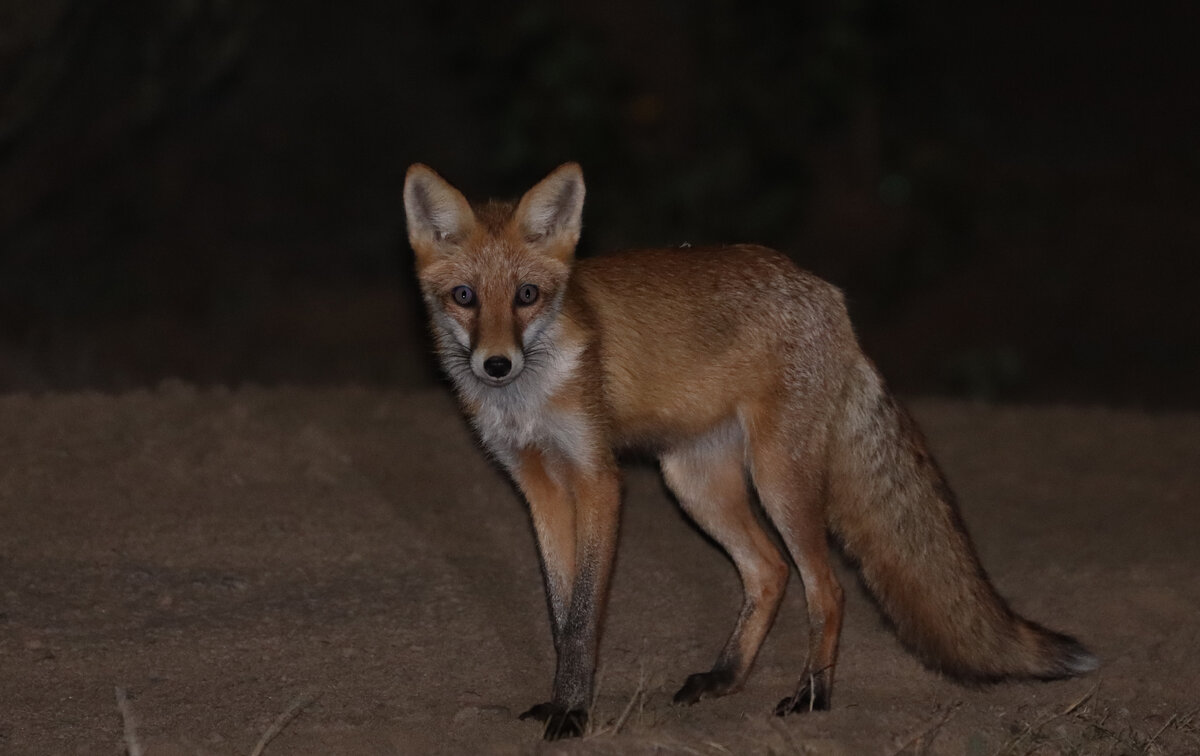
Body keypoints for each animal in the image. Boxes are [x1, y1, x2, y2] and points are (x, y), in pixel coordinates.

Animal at [403, 162, 1099, 739]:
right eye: (465, 297)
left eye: (527, 295)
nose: (497, 365)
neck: (529, 400)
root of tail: (825, 292)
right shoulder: (538, 486)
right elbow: (559, 611)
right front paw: (561, 701)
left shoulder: (597, 477)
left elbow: (582, 617)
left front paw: (573, 712)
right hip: (694, 482)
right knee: (769, 571)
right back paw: (726, 678)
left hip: (778, 479)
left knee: (826, 587)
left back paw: (812, 695)